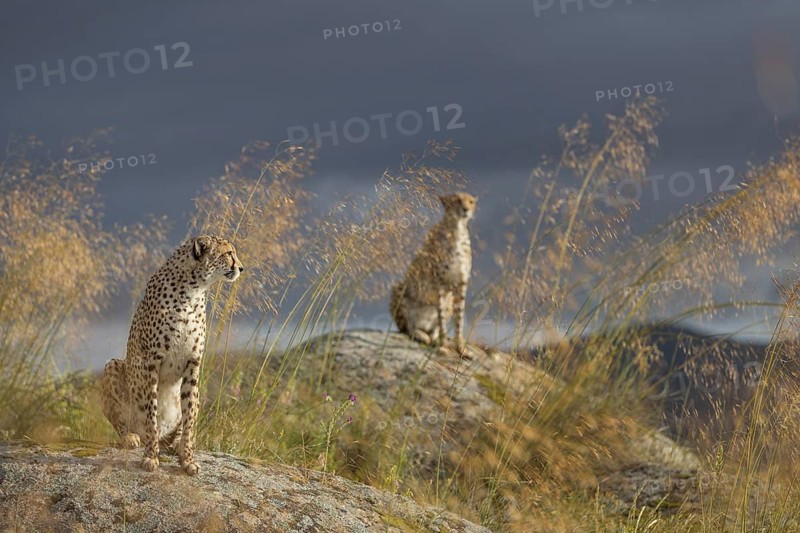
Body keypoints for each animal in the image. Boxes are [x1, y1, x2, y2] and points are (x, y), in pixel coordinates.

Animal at [101, 235, 243, 475]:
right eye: (228, 253)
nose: (241, 268)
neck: (193, 291)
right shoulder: (151, 361)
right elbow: (151, 413)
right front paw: (151, 456)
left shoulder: (193, 364)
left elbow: (189, 416)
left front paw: (187, 458)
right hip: (112, 366)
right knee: (121, 420)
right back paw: (131, 437)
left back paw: (175, 444)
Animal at [390, 192, 477, 354]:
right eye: (456, 200)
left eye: (471, 201)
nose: (466, 209)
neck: (457, 229)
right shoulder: (440, 281)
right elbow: (441, 316)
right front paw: (444, 346)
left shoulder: (462, 282)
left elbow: (459, 318)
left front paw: (460, 347)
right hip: (400, 287)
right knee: (407, 328)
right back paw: (422, 335)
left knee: (432, 329)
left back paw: (433, 338)